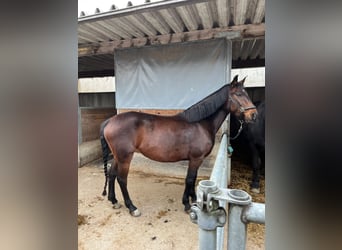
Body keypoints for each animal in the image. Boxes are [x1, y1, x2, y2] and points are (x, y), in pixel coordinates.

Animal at [99, 74, 256, 217]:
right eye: (239, 94)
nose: (254, 115)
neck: (200, 124)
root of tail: (110, 121)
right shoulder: (196, 158)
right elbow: (190, 179)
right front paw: (187, 204)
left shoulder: (196, 160)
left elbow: (193, 178)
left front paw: (193, 200)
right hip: (125, 157)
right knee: (121, 179)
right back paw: (132, 207)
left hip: (118, 156)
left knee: (112, 174)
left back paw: (114, 201)